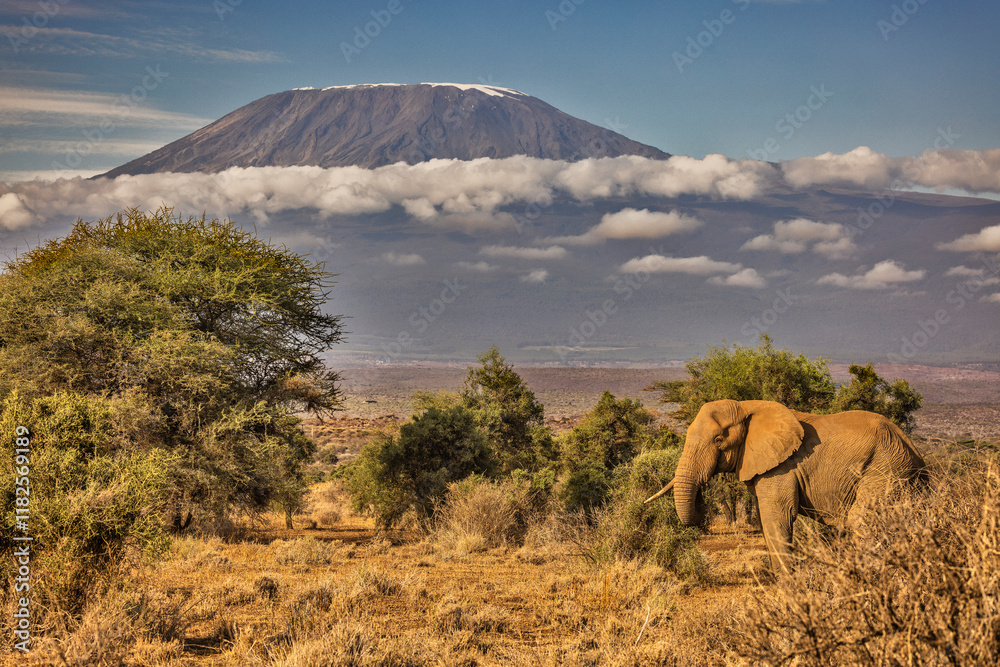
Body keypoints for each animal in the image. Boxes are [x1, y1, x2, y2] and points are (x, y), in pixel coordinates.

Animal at [644, 399, 927, 571]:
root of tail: (913, 448)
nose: (701, 502)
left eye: (718, 440)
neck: (746, 406)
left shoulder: (781, 467)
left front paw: (787, 587)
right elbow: (764, 519)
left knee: (862, 520)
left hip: (887, 468)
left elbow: (777, 517)